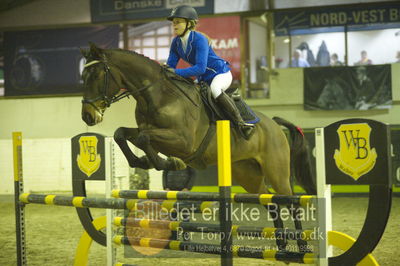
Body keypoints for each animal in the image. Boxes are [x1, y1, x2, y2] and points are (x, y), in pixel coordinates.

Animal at [79, 42, 316, 195]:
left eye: (97, 75)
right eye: (83, 76)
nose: (87, 116)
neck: (157, 95)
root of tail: (276, 126)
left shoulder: (183, 142)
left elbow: (143, 139)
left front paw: (170, 163)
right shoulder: (150, 129)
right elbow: (122, 133)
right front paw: (142, 161)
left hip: (277, 172)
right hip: (248, 173)